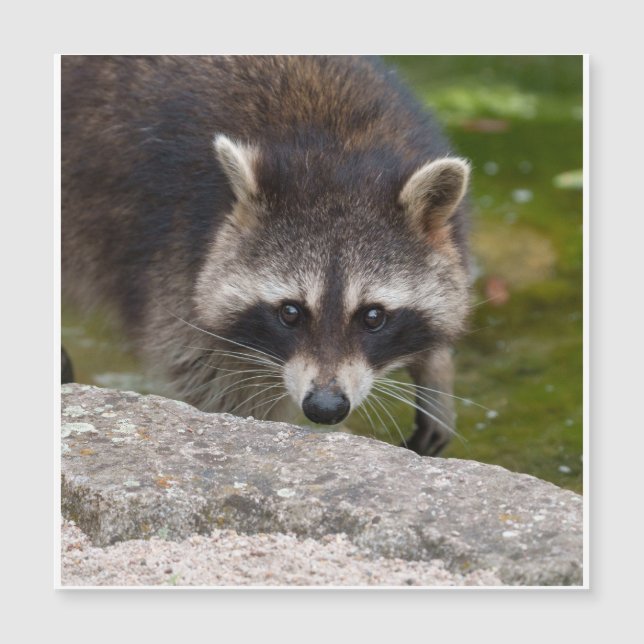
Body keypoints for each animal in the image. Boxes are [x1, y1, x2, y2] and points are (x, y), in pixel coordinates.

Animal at [61, 56, 471, 456]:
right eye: (290, 312)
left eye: (373, 316)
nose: (324, 408)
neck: (336, 152)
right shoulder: (175, 264)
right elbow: (221, 387)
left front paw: (435, 367)